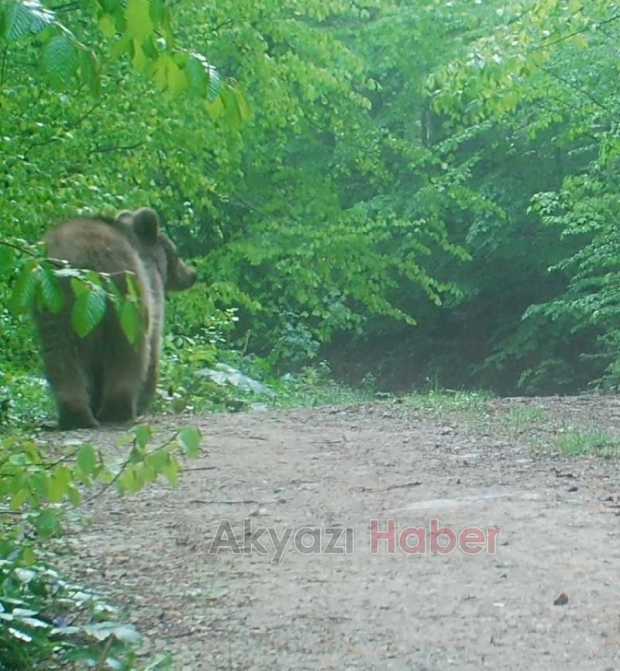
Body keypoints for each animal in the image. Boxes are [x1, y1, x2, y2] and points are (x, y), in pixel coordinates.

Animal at [32, 207, 196, 434]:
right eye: (175, 253)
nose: (192, 275)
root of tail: (87, 266)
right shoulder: (151, 288)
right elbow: (154, 345)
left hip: (57, 306)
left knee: (61, 356)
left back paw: (75, 416)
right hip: (126, 302)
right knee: (129, 353)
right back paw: (119, 410)